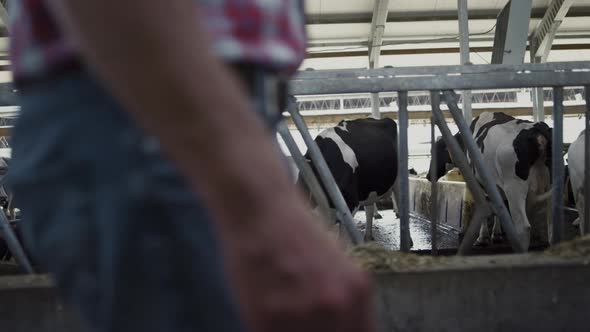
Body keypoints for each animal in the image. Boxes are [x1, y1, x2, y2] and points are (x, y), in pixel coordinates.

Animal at [430, 111, 556, 249]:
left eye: (434, 151)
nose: (428, 176)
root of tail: (538, 128)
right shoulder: (496, 185)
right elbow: (499, 208)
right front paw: (496, 235)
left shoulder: (480, 183)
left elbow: (486, 207)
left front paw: (482, 238)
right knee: (552, 224)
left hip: (514, 186)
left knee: (523, 227)